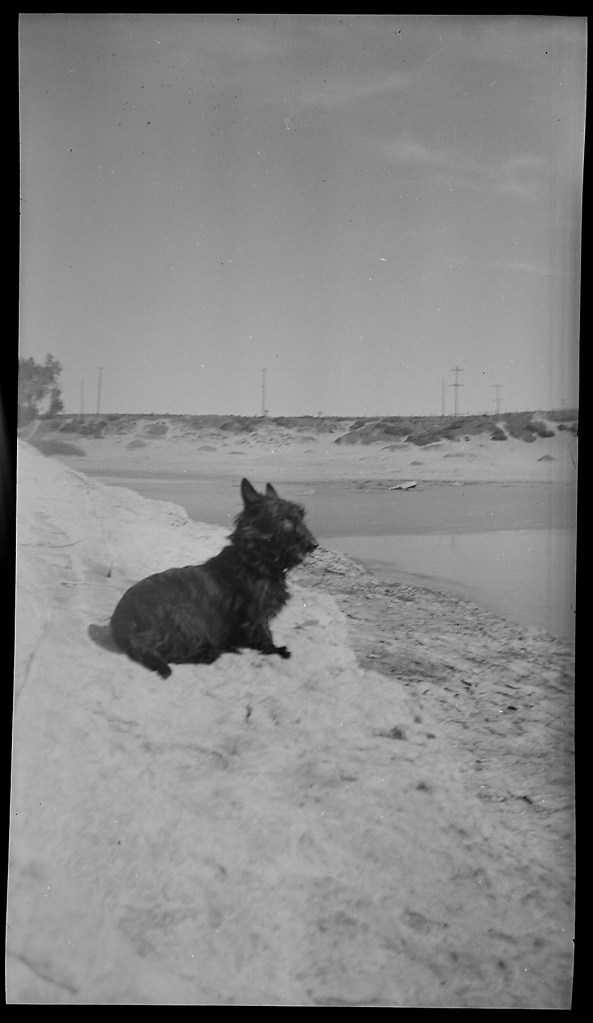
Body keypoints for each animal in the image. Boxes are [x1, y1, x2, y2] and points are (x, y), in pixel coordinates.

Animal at [110, 478, 318, 678]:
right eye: (283, 519)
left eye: (300, 515)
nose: (313, 544)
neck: (253, 560)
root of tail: (124, 620)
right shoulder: (255, 613)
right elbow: (263, 632)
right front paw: (275, 650)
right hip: (185, 615)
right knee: (172, 653)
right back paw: (208, 653)